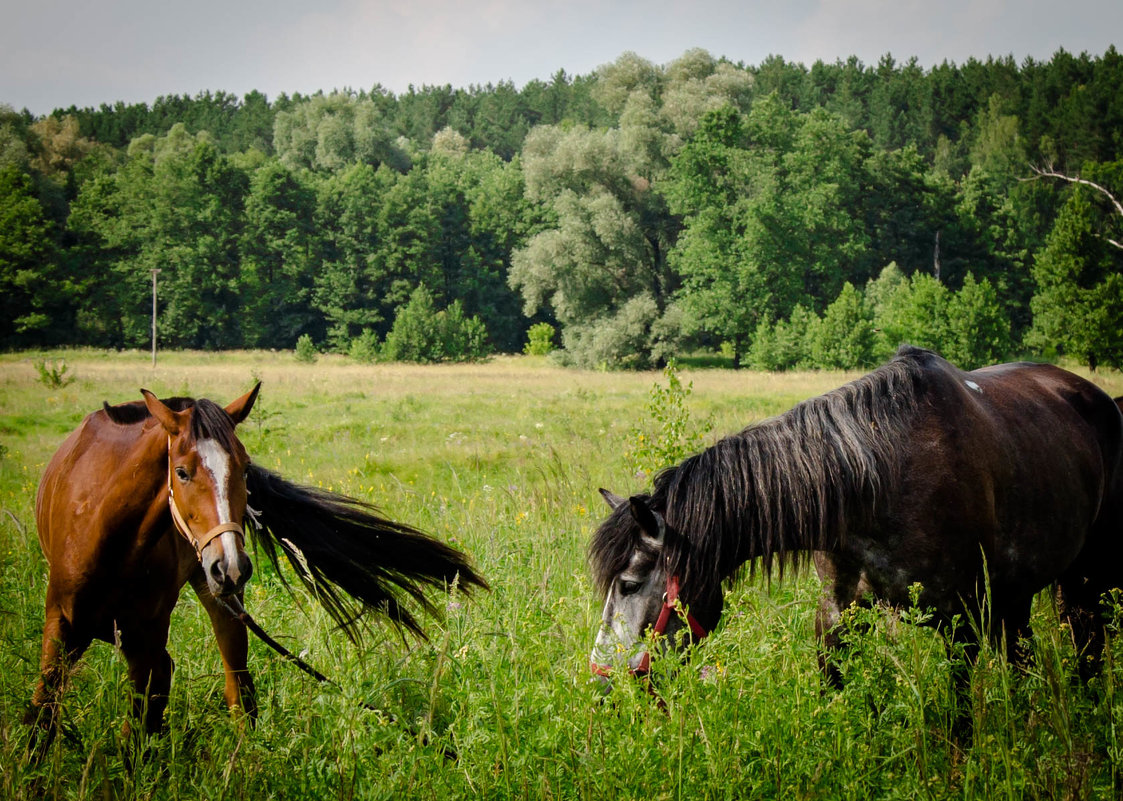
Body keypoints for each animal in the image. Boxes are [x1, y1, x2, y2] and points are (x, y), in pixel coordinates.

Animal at [28, 384, 485, 745]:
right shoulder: (61, 624)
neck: (109, 536)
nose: (230, 566)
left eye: (245, 469)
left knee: (237, 691)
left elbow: (134, 732)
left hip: (217, 605)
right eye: (181, 472)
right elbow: (42, 718)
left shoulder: (145, 636)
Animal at [592, 346, 1118, 692]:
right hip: (1017, 596)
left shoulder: (960, 626)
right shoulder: (836, 617)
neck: (878, 482)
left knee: (1089, 648)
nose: (601, 681)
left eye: (630, 584)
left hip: (1085, 582)